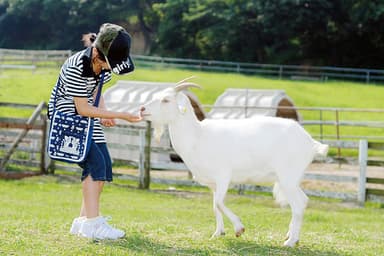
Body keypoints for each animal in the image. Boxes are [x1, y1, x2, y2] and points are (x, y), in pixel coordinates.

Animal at [141, 79, 328, 247]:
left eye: (166, 100)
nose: (142, 109)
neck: (197, 136)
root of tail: (310, 142)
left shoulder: (223, 176)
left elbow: (219, 203)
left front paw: (239, 229)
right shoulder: (213, 184)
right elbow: (214, 206)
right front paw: (218, 233)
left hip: (288, 177)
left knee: (298, 204)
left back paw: (290, 242)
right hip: (291, 179)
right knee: (303, 201)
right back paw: (290, 236)